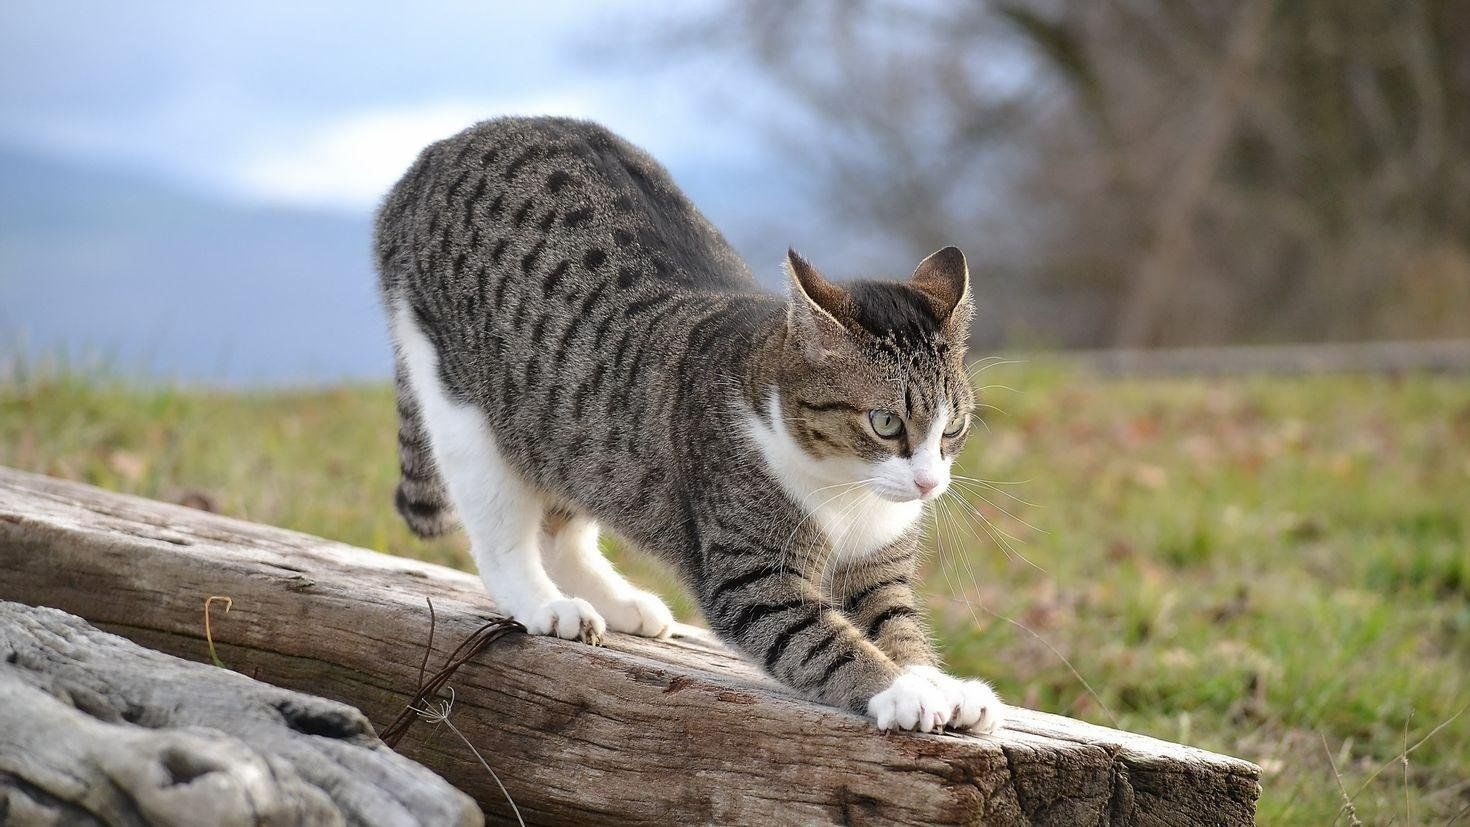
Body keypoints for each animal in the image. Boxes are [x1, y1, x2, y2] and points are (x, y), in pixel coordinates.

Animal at [373, 114, 1005, 731]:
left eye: (952, 429)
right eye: (885, 422)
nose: (928, 483)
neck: (847, 492)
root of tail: (437, 153)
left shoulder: (878, 571)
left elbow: (898, 629)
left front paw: (942, 685)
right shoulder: (753, 578)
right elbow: (828, 644)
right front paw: (902, 691)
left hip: (577, 431)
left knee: (564, 520)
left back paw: (621, 603)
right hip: (463, 404)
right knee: (500, 531)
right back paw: (546, 605)